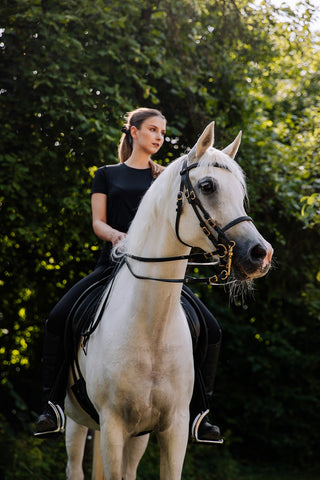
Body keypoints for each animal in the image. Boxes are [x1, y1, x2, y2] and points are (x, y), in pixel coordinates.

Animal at [64, 123, 272, 480]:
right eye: (207, 186)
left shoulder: (173, 429)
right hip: (78, 424)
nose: (261, 254)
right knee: (74, 466)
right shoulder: (113, 427)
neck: (151, 327)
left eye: (240, 193)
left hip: (136, 435)